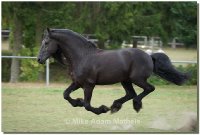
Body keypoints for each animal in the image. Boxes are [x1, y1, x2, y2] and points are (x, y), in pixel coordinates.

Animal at [37, 28, 189, 114]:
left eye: (46, 43)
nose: (39, 59)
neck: (82, 56)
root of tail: (149, 56)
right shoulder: (77, 82)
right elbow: (65, 95)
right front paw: (77, 102)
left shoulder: (89, 84)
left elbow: (87, 105)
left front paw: (101, 109)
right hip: (125, 80)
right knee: (131, 94)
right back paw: (116, 106)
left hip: (137, 79)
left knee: (148, 89)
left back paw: (135, 105)